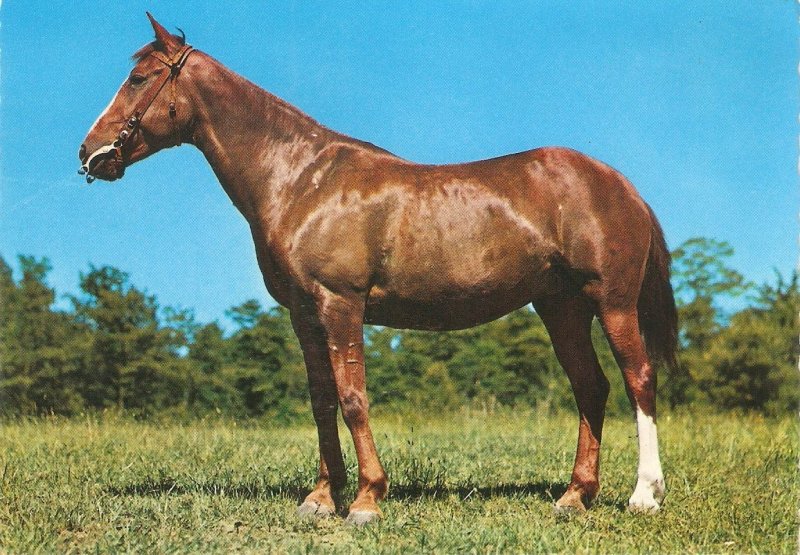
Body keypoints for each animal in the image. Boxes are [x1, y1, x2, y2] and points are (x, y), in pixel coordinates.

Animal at [79, 13, 676, 524]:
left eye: (138, 78)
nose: (88, 154)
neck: (303, 180)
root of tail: (619, 183)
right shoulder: (303, 314)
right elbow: (322, 401)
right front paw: (321, 498)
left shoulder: (341, 304)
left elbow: (353, 399)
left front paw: (367, 500)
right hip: (561, 308)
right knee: (591, 387)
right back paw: (575, 496)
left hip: (612, 303)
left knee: (638, 380)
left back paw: (644, 495)